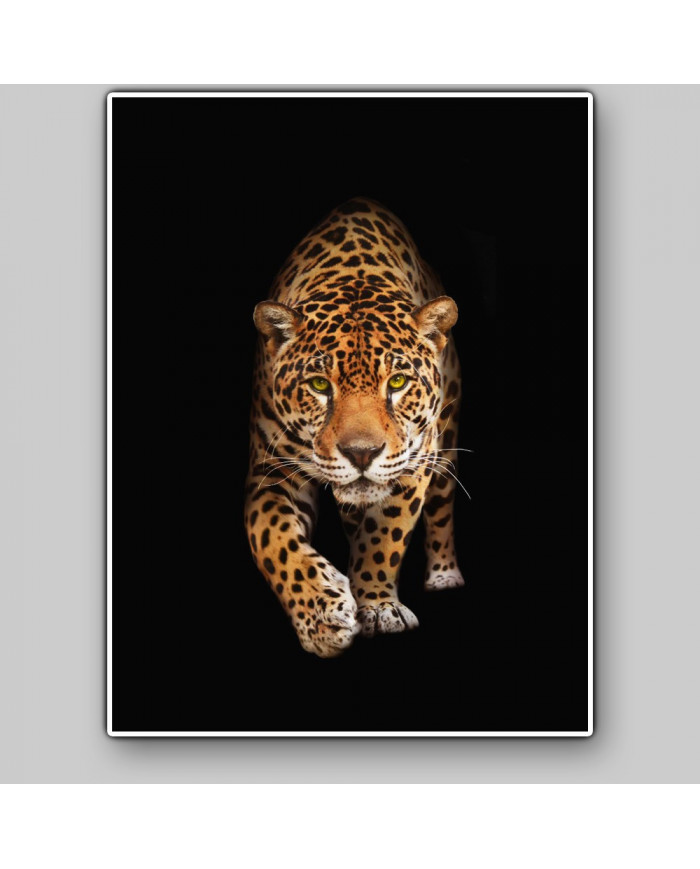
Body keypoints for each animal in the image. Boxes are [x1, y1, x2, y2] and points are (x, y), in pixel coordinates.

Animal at [244, 197, 464, 658]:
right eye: (318, 385)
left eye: (397, 383)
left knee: (441, 508)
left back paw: (444, 575)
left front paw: (378, 606)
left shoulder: (415, 461)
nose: (361, 453)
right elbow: (274, 540)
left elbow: (384, 535)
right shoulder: (271, 471)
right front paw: (322, 618)